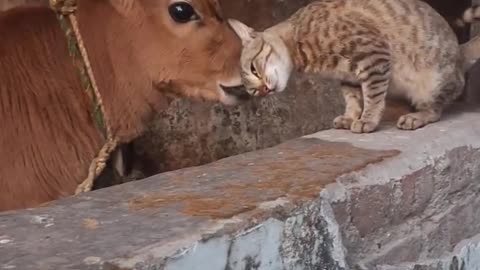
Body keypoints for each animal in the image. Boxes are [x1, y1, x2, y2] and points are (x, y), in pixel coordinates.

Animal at [228, 0, 480, 133]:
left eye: (253, 69)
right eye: (253, 92)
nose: (264, 90)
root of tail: (461, 52)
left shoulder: (374, 55)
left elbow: (373, 96)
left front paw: (368, 119)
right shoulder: (349, 77)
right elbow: (352, 98)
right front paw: (351, 116)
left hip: (432, 84)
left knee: (435, 110)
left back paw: (416, 116)